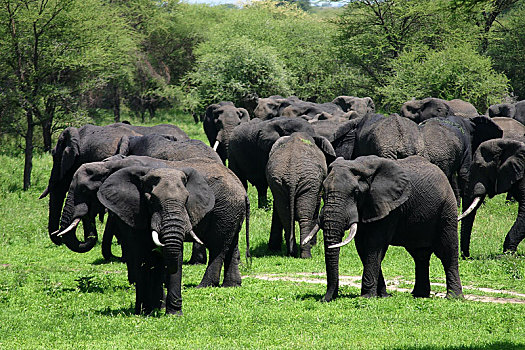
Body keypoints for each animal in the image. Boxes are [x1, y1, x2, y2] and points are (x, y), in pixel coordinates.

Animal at [52, 156, 249, 314]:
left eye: (84, 190)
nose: (87, 216)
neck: (108, 165)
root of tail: (241, 187)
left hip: (225, 211)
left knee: (218, 247)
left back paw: (203, 286)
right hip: (231, 213)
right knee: (231, 245)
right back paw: (232, 285)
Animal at [302, 156, 462, 300]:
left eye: (356, 192)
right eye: (323, 191)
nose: (326, 299)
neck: (360, 165)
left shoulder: (388, 207)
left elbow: (374, 245)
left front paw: (366, 297)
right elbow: (363, 247)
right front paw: (383, 295)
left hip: (447, 209)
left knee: (447, 251)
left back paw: (453, 297)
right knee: (420, 255)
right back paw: (419, 295)